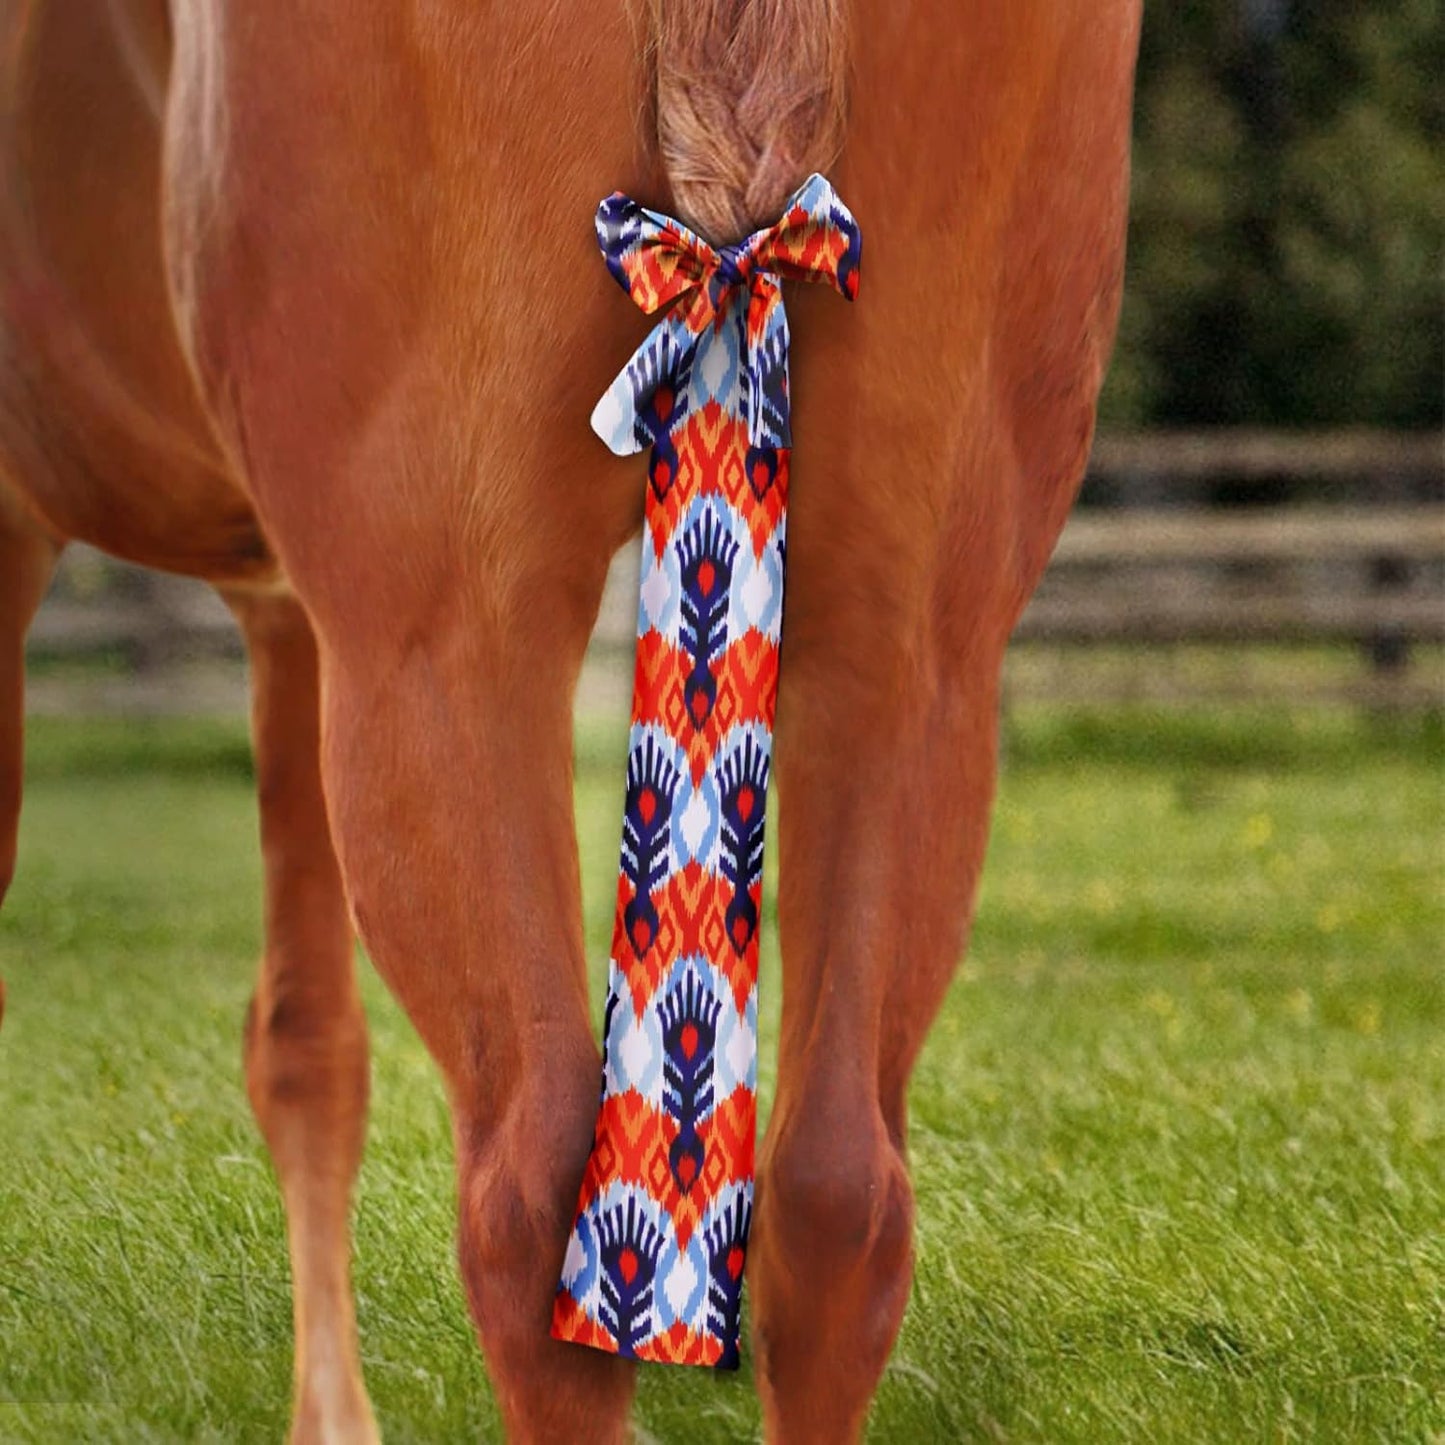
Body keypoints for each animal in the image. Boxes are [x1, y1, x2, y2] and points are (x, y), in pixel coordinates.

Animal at [0, 1, 1141, 1438]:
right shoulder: (285, 616)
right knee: (838, 1199)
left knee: (529, 1198)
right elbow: (308, 1046)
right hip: (915, 644)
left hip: (440, 645)